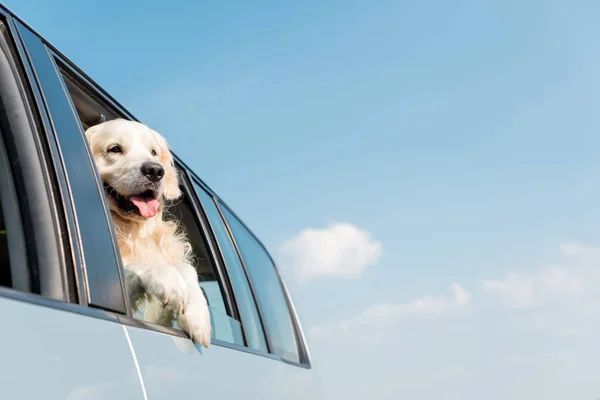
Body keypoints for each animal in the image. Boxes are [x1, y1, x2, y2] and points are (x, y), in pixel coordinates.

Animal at [85, 118, 212, 346]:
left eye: (153, 152)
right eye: (115, 149)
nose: (155, 171)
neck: (134, 231)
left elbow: (186, 268)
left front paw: (197, 315)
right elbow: (137, 266)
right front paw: (169, 279)